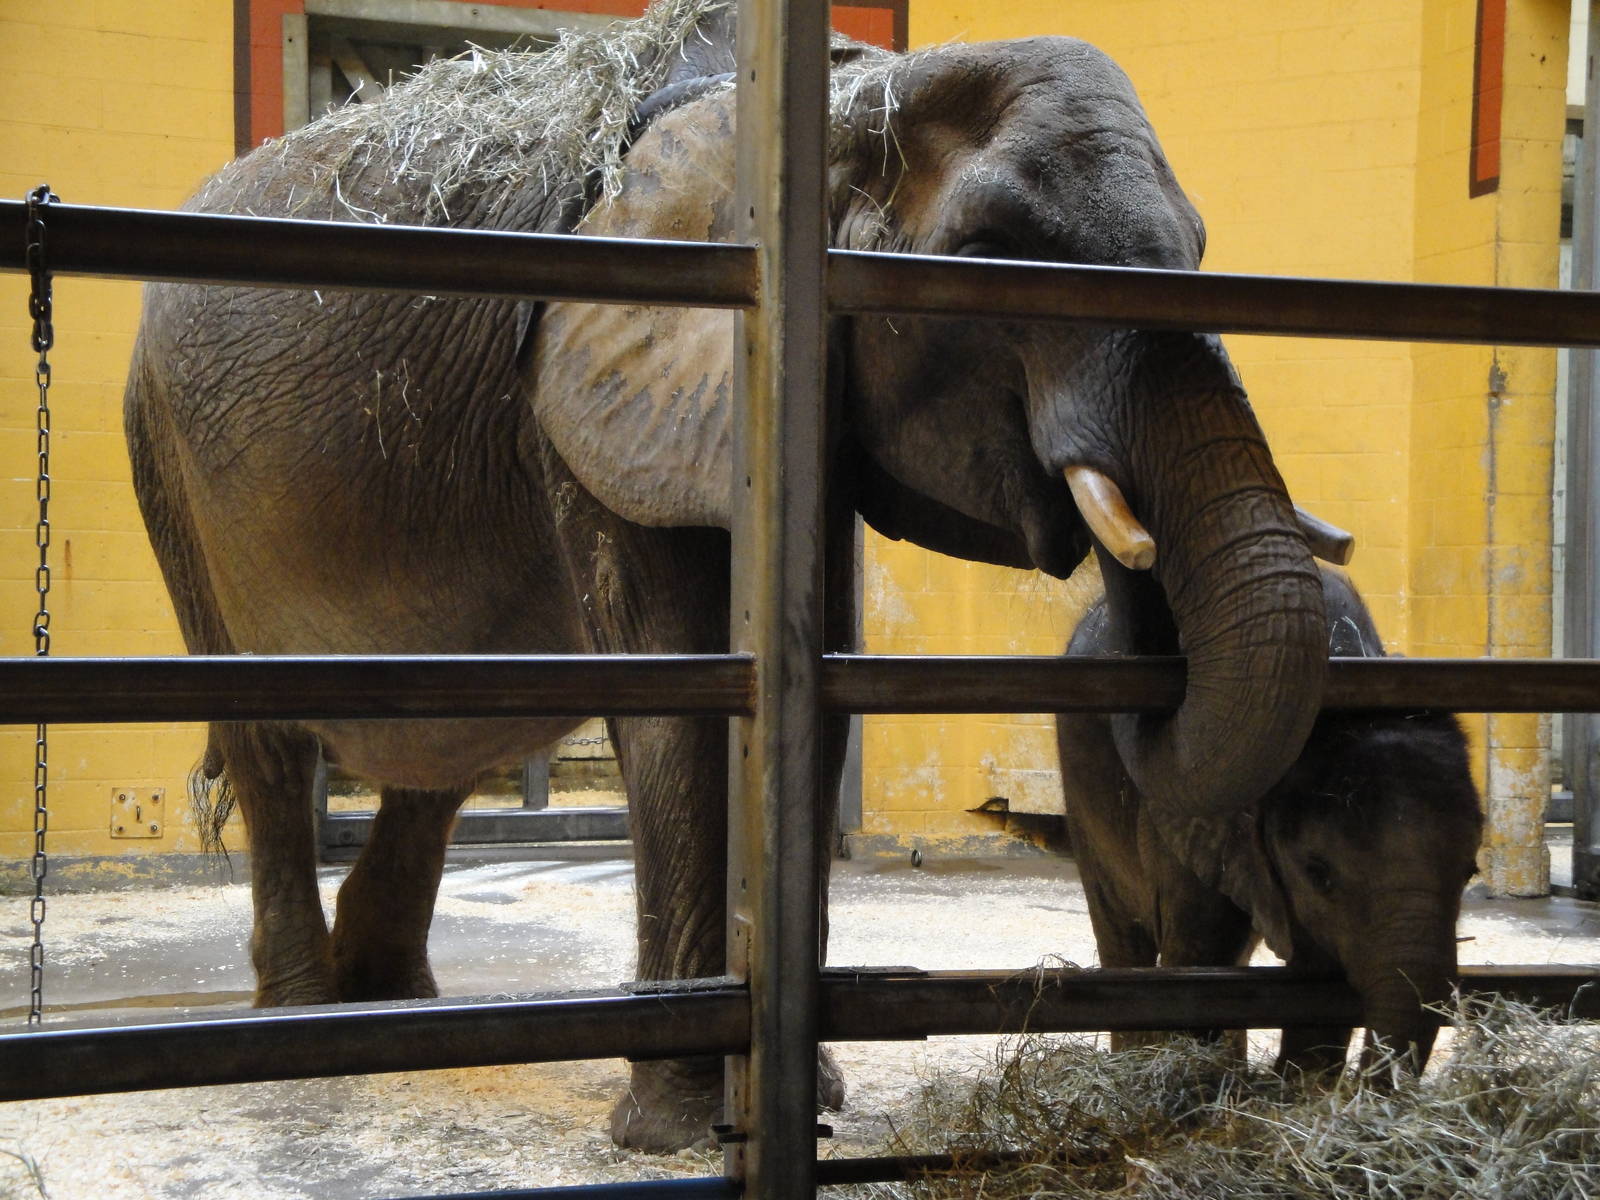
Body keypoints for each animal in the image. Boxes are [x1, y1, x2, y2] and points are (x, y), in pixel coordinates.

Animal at [123, 0, 1337, 1151]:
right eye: (993, 250)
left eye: (1201, 248)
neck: (850, 91)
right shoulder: (594, 376)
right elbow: (677, 689)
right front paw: (676, 1125)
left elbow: (812, 694)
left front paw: (804, 1099)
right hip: (166, 461)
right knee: (273, 744)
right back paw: (305, 1034)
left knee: (442, 744)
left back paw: (396, 1011)